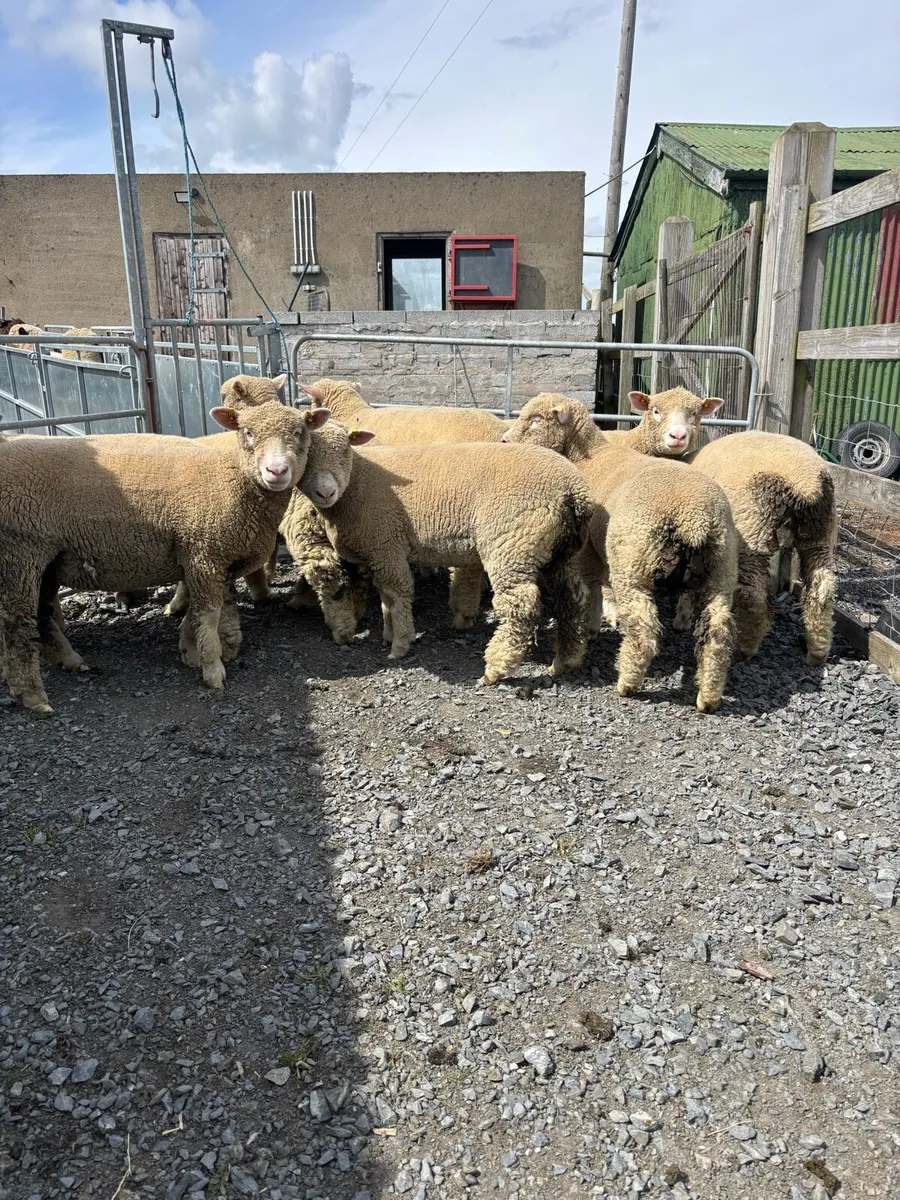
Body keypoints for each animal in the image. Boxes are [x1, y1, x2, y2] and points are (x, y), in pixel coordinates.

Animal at [0, 400, 330, 714]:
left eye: (299, 432)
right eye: (247, 432)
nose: (277, 472)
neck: (233, 480)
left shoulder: (209, 559)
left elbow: (203, 610)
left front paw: (192, 650)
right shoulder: (203, 554)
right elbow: (209, 614)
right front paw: (212, 669)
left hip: (48, 561)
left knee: (42, 613)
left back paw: (69, 660)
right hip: (19, 552)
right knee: (17, 622)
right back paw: (33, 696)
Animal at [285, 423, 593, 683]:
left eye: (345, 450)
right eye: (307, 455)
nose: (327, 492)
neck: (356, 484)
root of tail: (573, 491)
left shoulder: (387, 545)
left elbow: (397, 596)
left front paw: (400, 644)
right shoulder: (381, 553)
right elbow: (386, 598)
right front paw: (388, 635)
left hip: (511, 544)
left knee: (522, 607)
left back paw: (496, 669)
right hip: (563, 552)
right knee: (573, 599)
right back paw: (565, 661)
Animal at [502, 394, 738, 712]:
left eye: (536, 419)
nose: (504, 441)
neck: (588, 458)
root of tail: (693, 517)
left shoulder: (587, 549)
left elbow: (592, 586)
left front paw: (591, 628)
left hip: (633, 563)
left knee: (643, 628)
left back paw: (627, 683)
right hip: (721, 568)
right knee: (717, 633)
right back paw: (708, 697)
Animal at [620, 388, 837, 666]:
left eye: (695, 412)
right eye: (655, 410)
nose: (677, 436)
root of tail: (805, 483)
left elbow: (692, 581)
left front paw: (682, 618)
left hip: (752, 532)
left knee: (755, 594)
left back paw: (746, 648)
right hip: (820, 531)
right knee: (823, 587)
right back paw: (817, 650)